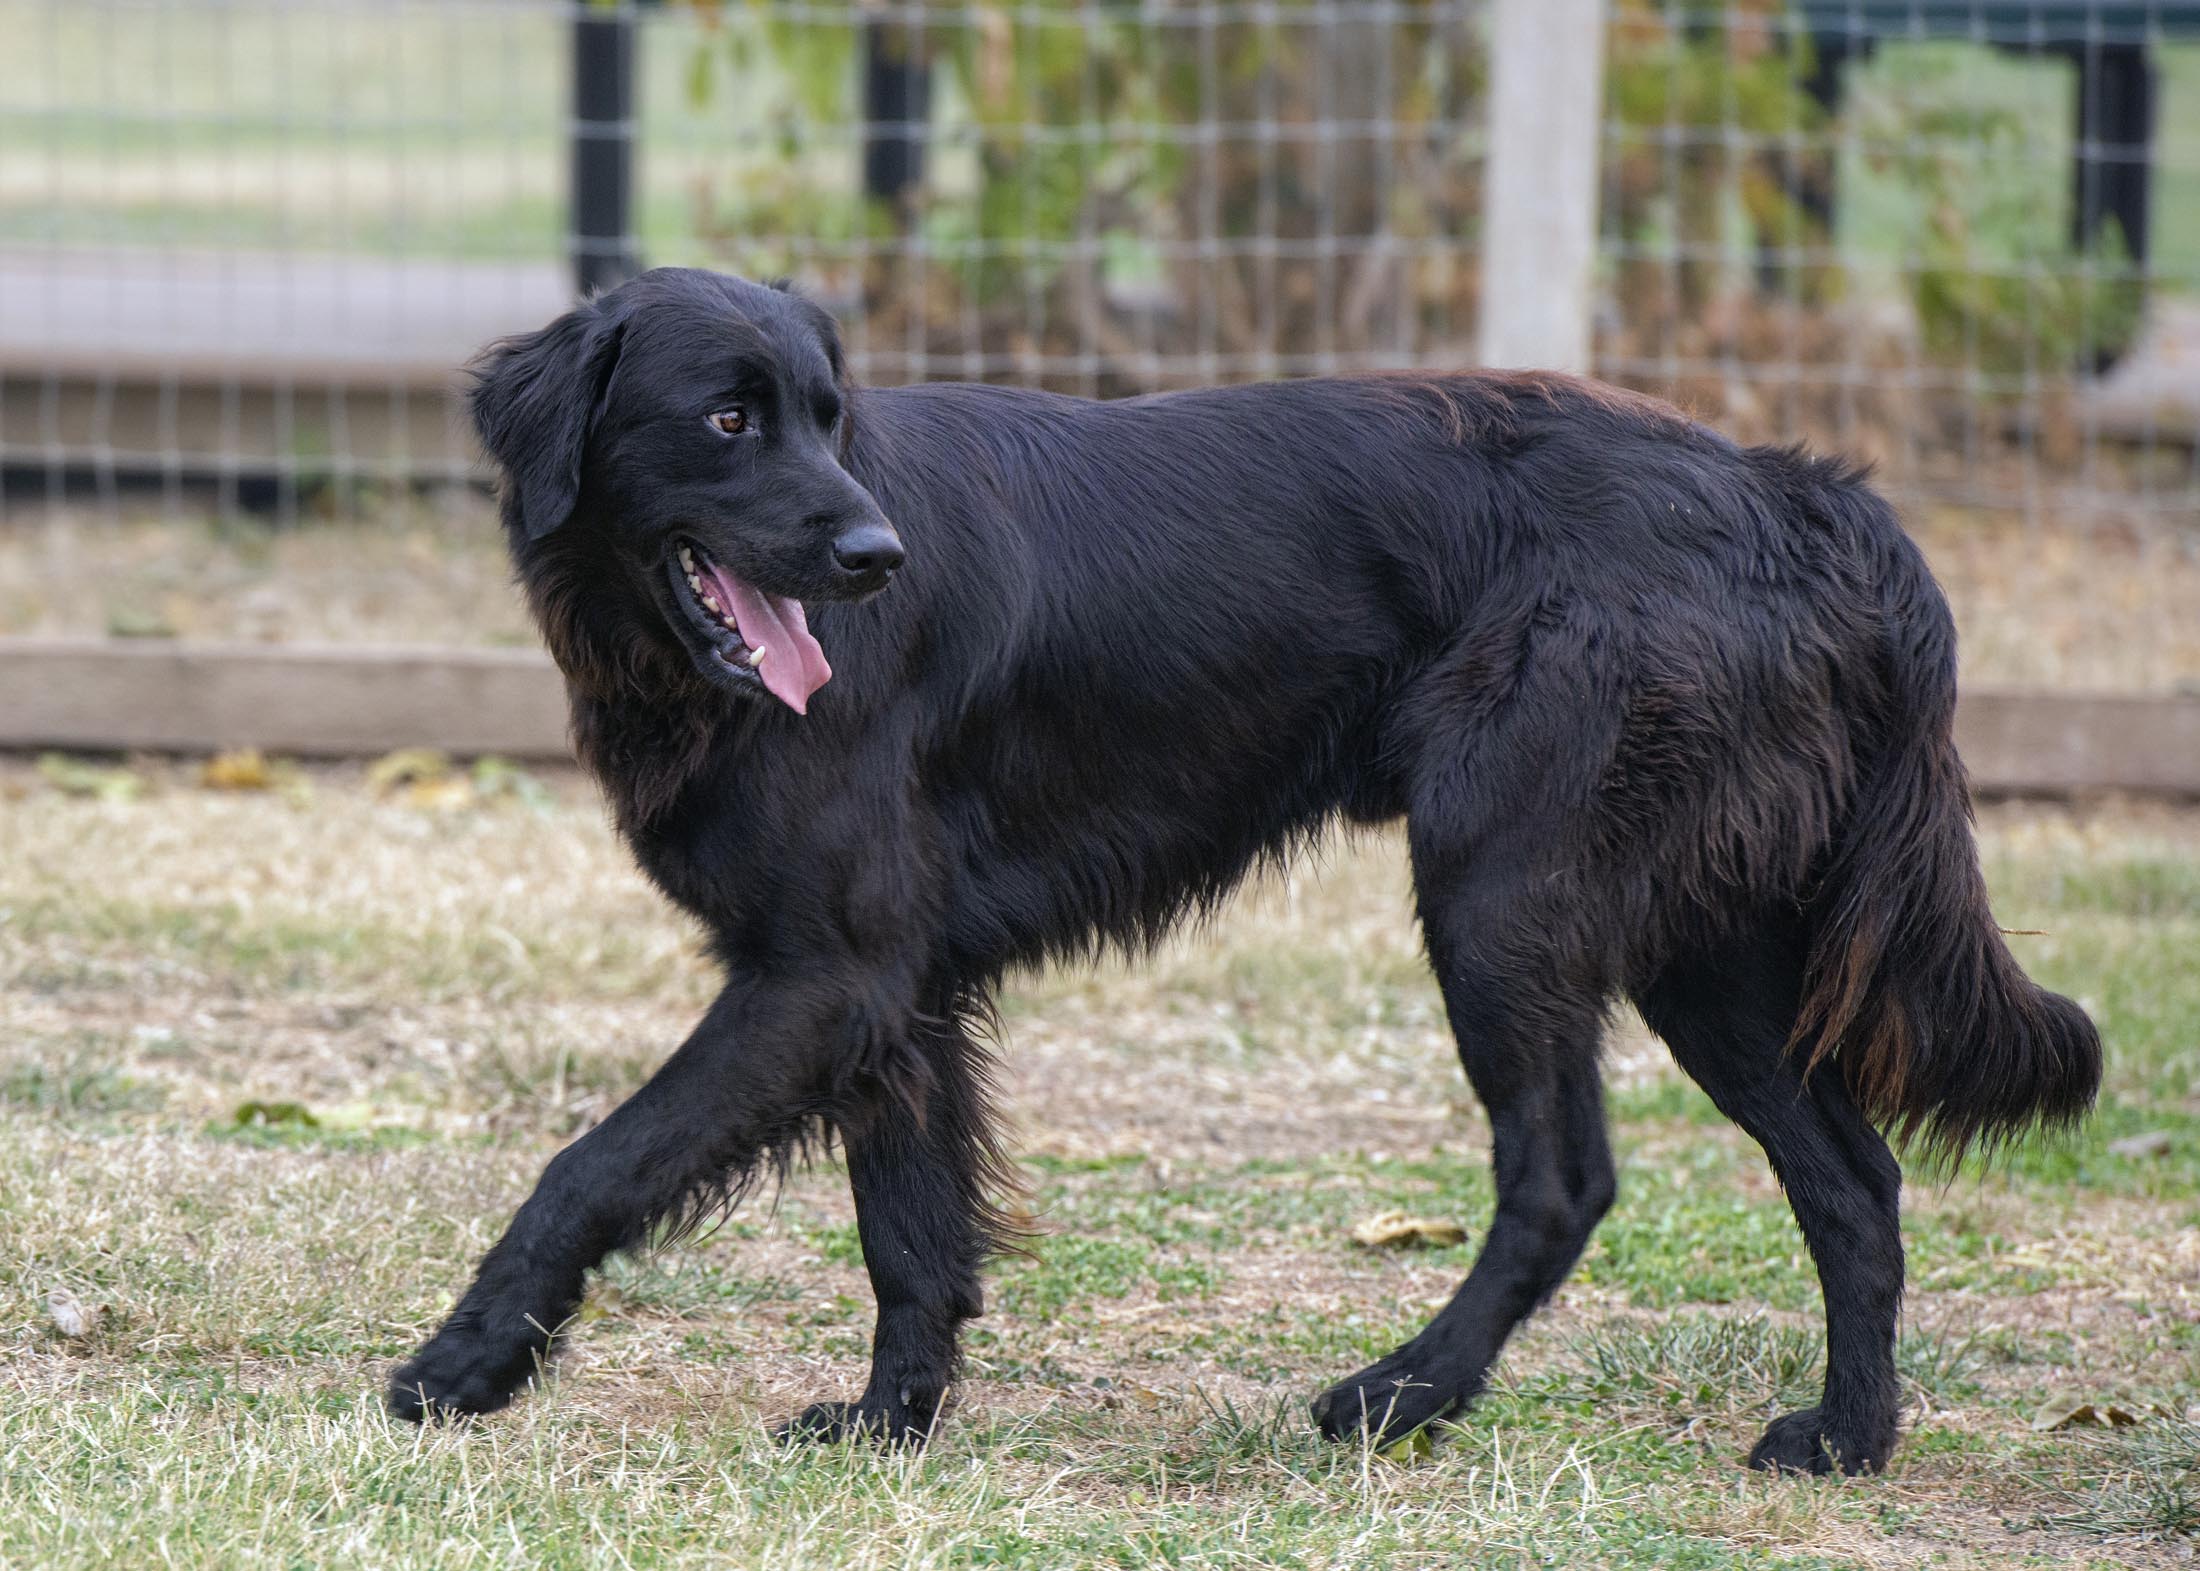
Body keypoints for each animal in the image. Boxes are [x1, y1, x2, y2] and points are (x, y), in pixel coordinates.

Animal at [389, 267, 2099, 1475]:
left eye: (825, 413)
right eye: (732, 419)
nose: (874, 559)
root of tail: (1796, 489)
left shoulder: (824, 976)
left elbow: (590, 1164)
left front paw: (460, 1364)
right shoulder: (894, 994)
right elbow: (913, 1233)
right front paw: (893, 1424)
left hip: (1503, 898)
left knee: (1565, 1178)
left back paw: (1401, 1395)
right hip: (1708, 947)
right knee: (1853, 1184)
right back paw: (1846, 1440)